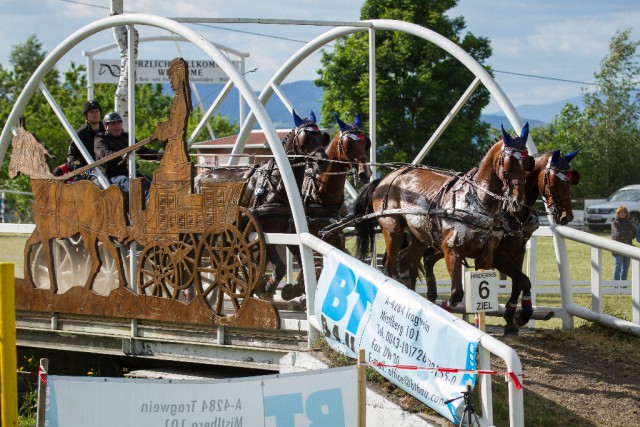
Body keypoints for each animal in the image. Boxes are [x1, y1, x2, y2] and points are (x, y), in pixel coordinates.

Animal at [9, 128, 130, 294]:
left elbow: (49, 260)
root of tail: (101, 193)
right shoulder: (40, 232)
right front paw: (31, 282)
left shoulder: (45, 234)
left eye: (17, 146)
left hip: (88, 234)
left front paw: (52, 288)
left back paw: (86, 288)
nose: (10, 170)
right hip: (99, 234)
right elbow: (28, 246)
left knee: (97, 260)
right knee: (113, 252)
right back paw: (121, 286)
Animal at [352, 124, 532, 310]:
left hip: (419, 238)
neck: (479, 202)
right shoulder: (452, 250)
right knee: (390, 264)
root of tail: (386, 179)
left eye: (527, 163)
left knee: (403, 260)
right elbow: (456, 294)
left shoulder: (486, 255)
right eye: (509, 162)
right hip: (393, 230)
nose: (517, 201)